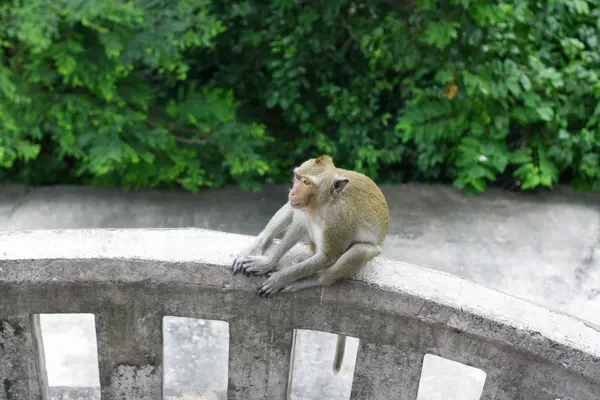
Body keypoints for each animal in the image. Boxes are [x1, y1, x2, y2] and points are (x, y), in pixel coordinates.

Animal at [230, 154, 390, 376]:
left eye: (307, 182)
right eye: (298, 178)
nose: (293, 190)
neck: (322, 204)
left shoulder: (339, 221)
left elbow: (329, 257)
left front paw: (279, 279)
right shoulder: (304, 209)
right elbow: (298, 225)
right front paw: (267, 263)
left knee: (358, 251)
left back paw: (313, 280)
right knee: (291, 210)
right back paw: (258, 245)